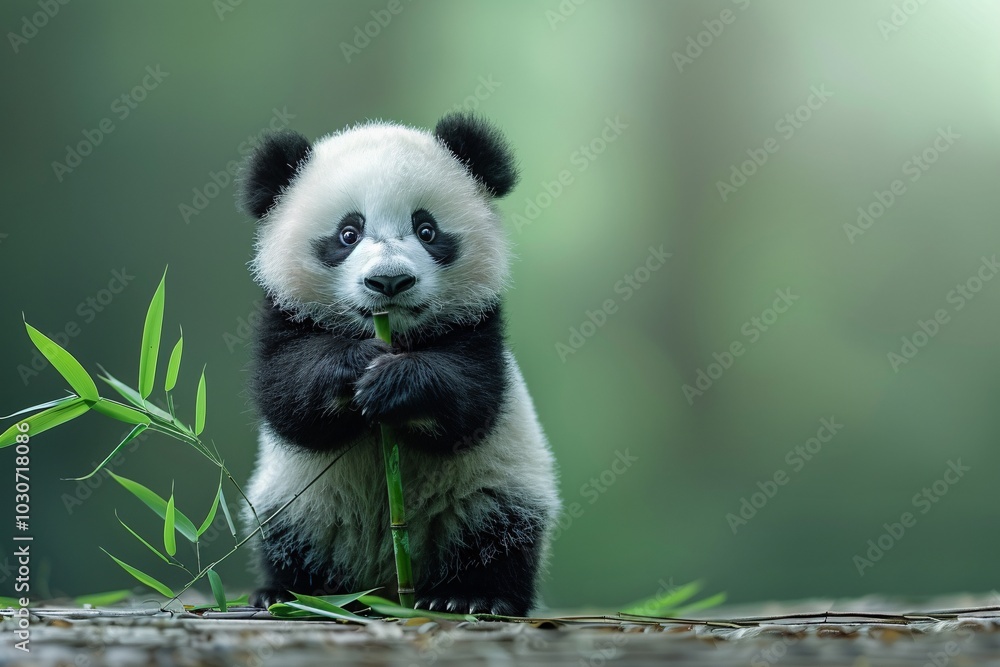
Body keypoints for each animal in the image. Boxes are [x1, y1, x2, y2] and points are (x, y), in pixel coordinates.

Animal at [237, 113, 561, 616]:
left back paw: (471, 596)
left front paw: (396, 382)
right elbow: (288, 400)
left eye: (426, 230)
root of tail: (385, 589)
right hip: (299, 505)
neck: (393, 335)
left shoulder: (479, 325)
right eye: (348, 234)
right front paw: (352, 366)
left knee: (499, 536)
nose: (389, 281)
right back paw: (288, 592)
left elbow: (470, 401)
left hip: (490, 492)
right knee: (289, 542)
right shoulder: (283, 317)